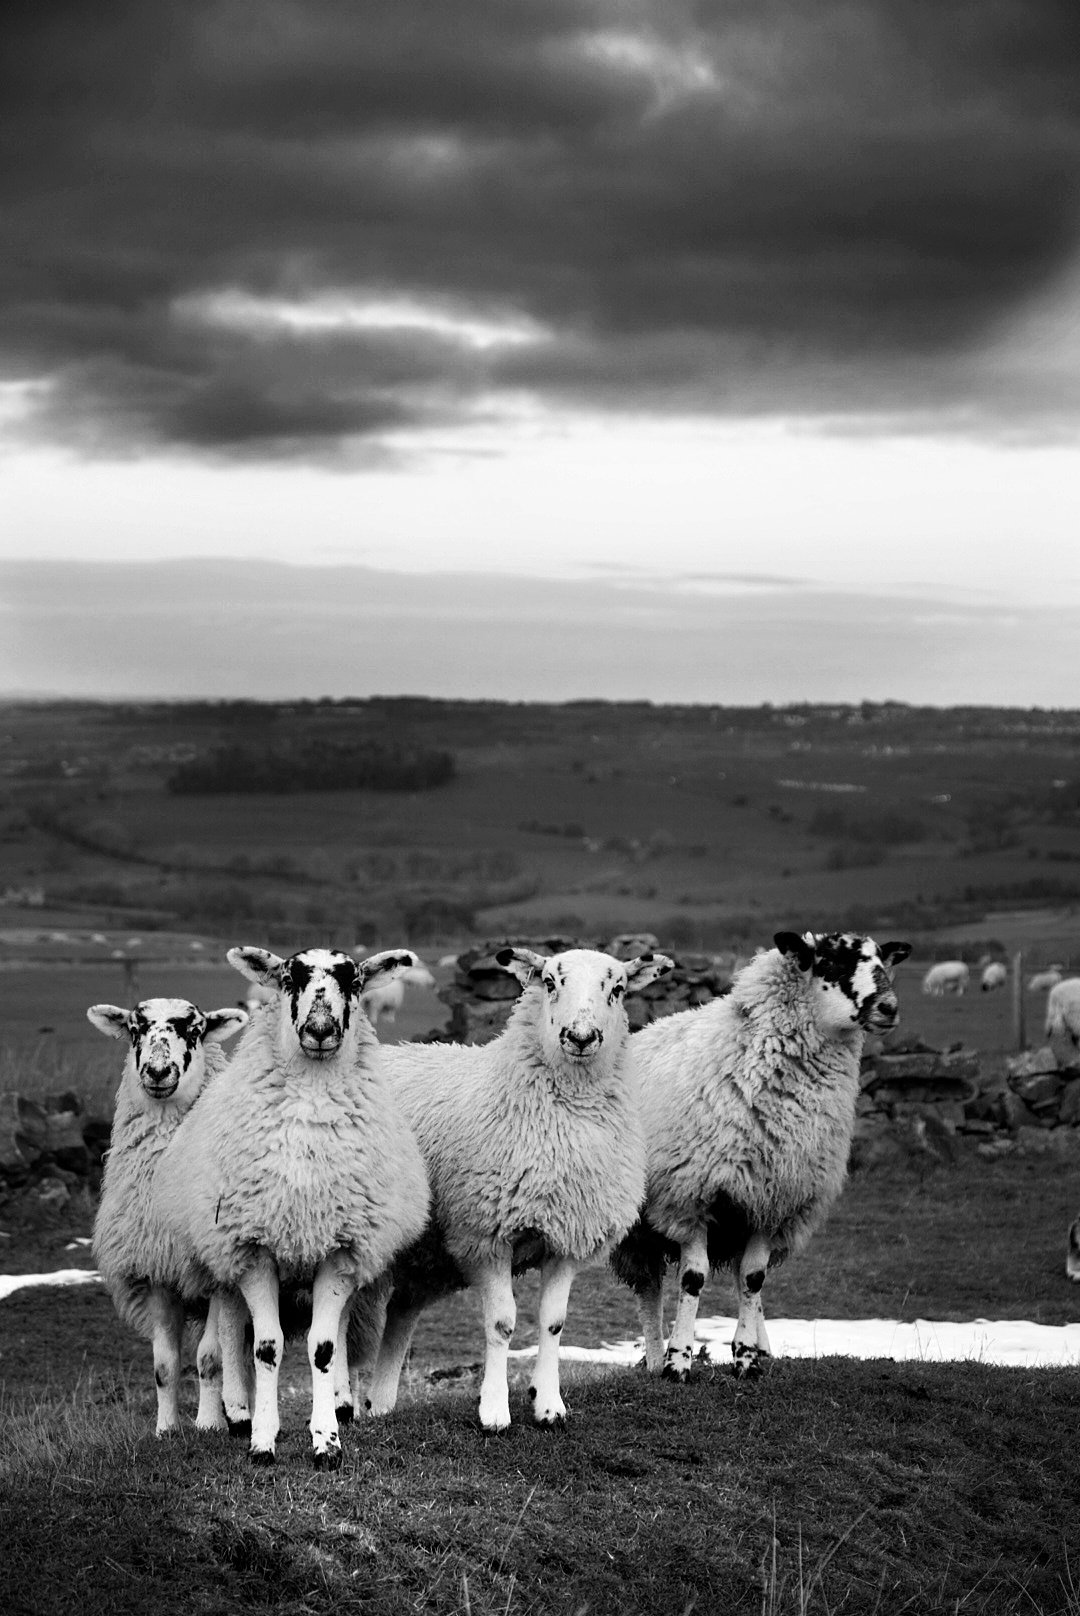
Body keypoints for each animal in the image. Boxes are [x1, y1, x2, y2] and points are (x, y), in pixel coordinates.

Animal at [88, 997, 248, 1434]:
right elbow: (164, 1365)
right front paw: (166, 1429)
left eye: (195, 1029)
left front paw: (208, 1424)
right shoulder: (157, 1272)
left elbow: (210, 1358)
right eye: (134, 1028)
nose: (158, 1072)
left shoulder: (215, 1276)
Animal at [153, 946, 430, 1468]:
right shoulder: (252, 1249)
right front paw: (263, 1439)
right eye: (287, 979)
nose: (320, 1030)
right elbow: (266, 1347)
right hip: (222, 1260)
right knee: (230, 1331)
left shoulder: (342, 1249)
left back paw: (340, 1402)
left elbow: (323, 1346)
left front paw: (327, 1441)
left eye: (355, 981)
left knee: (338, 1330)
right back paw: (236, 1411)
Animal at [362, 945, 674, 1431]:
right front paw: (493, 1410)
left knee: (400, 1313)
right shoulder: (486, 1234)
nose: (580, 1037)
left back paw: (379, 1405)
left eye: (618, 988)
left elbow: (553, 1322)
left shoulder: (567, 1235)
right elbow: (502, 1324)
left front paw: (548, 1405)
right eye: (548, 982)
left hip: (425, 1258)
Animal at [611, 930, 911, 1382]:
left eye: (882, 962)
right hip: (638, 1227)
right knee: (649, 1287)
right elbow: (693, 1279)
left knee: (741, 1280)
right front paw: (678, 1361)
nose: (888, 1007)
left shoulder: (773, 1200)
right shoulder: (691, 1197)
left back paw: (759, 1346)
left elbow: (753, 1279)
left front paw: (746, 1359)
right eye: (829, 963)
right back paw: (654, 1358)